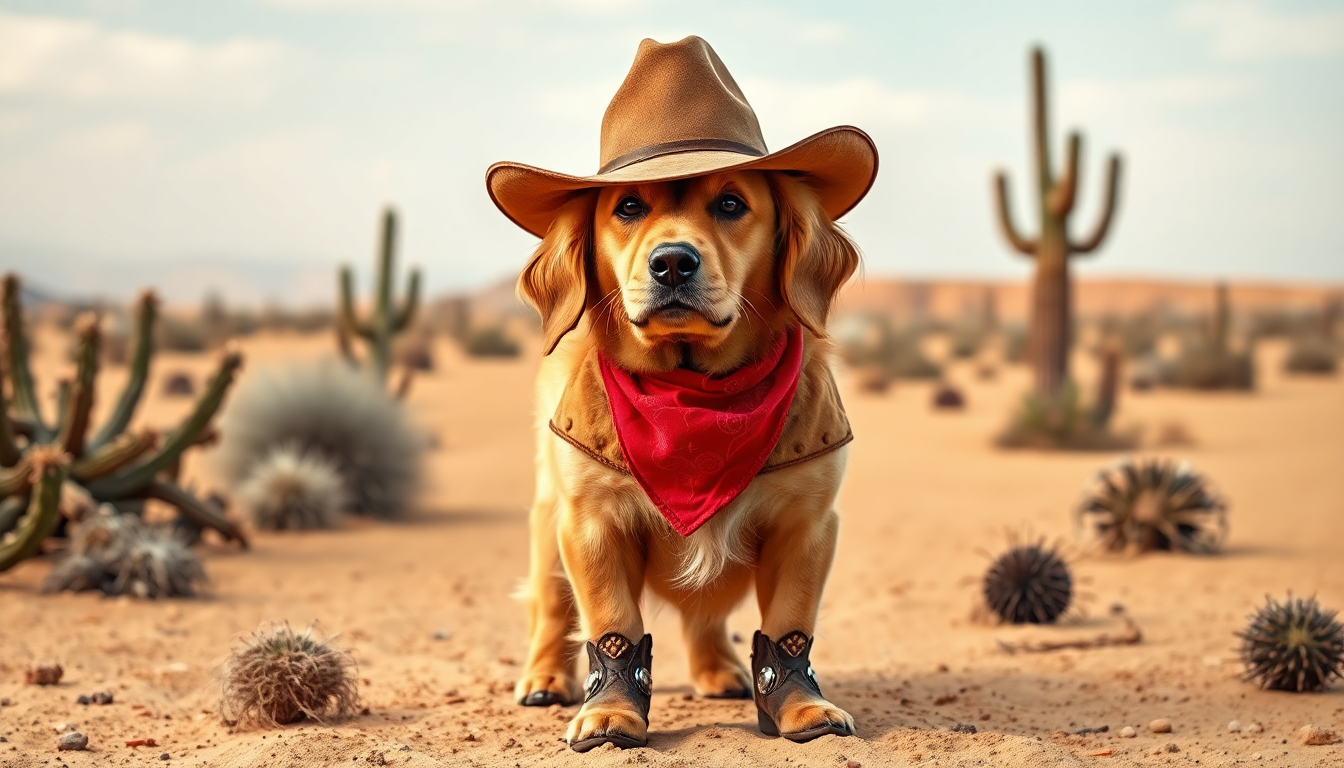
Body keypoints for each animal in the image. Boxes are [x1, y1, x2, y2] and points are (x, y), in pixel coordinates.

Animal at [489, 35, 876, 753]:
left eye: (730, 204)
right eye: (628, 207)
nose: (672, 262)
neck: (694, 392)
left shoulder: (807, 521)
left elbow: (789, 624)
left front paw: (801, 707)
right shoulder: (590, 519)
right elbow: (611, 620)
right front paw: (611, 714)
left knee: (706, 615)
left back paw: (719, 669)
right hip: (547, 516)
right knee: (552, 610)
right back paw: (545, 678)